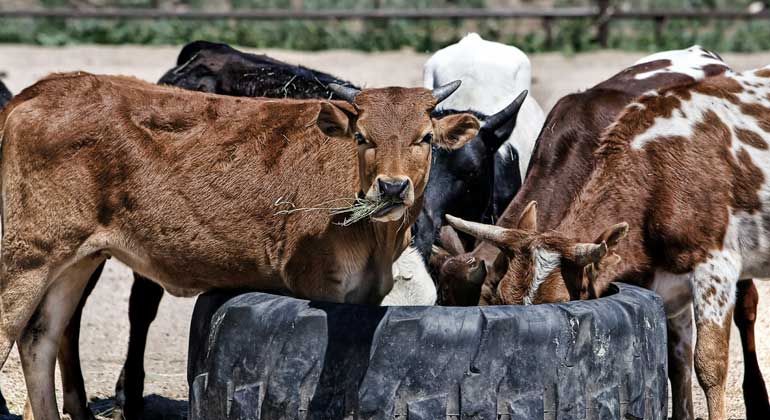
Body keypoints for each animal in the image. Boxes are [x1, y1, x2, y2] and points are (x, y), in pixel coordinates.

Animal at [444, 63, 768, 420]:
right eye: (501, 299)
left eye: (562, 303)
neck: (655, 174)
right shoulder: (667, 282)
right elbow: (677, 358)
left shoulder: (715, 269)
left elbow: (709, 365)